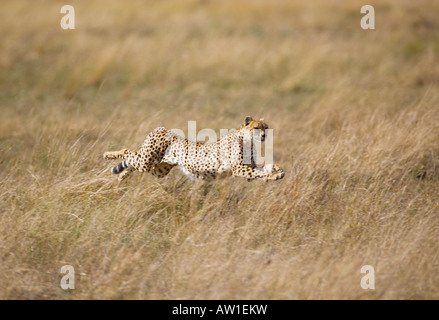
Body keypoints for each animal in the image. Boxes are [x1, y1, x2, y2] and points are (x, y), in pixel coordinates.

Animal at [105, 117, 288, 182]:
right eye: (257, 128)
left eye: (266, 127)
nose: (264, 135)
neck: (248, 141)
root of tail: (163, 129)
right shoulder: (239, 169)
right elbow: (259, 173)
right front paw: (274, 175)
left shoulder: (248, 167)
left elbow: (262, 169)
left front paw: (278, 170)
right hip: (147, 160)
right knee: (128, 152)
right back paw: (108, 155)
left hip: (158, 169)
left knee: (132, 162)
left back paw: (121, 175)